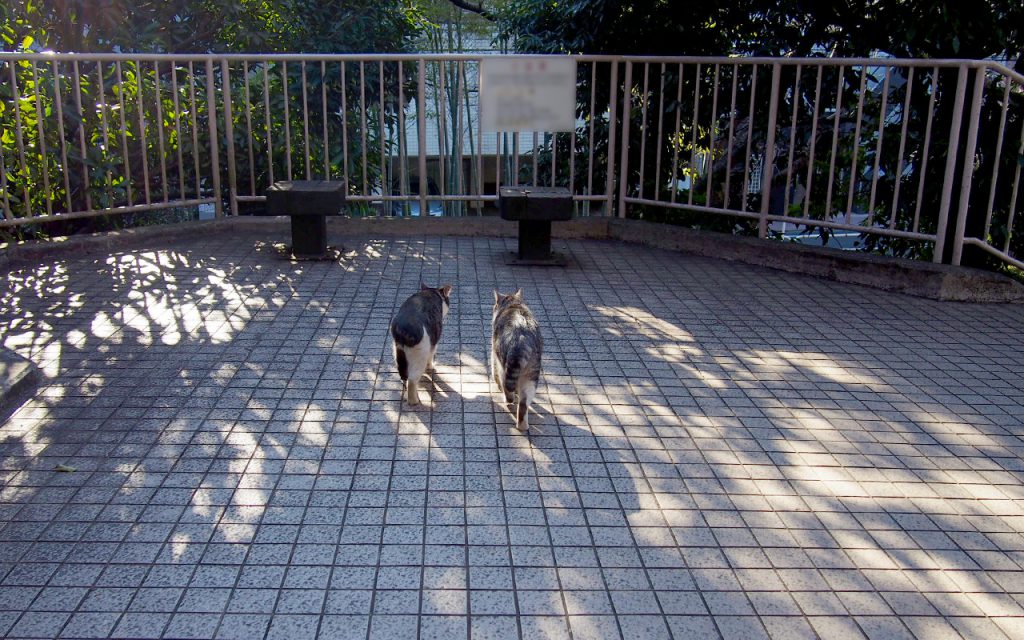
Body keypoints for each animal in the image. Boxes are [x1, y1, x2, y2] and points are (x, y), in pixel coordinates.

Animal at [489, 288, 540, 430]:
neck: (514, 304)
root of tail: (522, 337)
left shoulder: (493, 353)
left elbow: (493, 370)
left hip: (503, 363)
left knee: (506, 385)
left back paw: (508, 399)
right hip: (532, 374)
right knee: (523, 404)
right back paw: (523, 425)